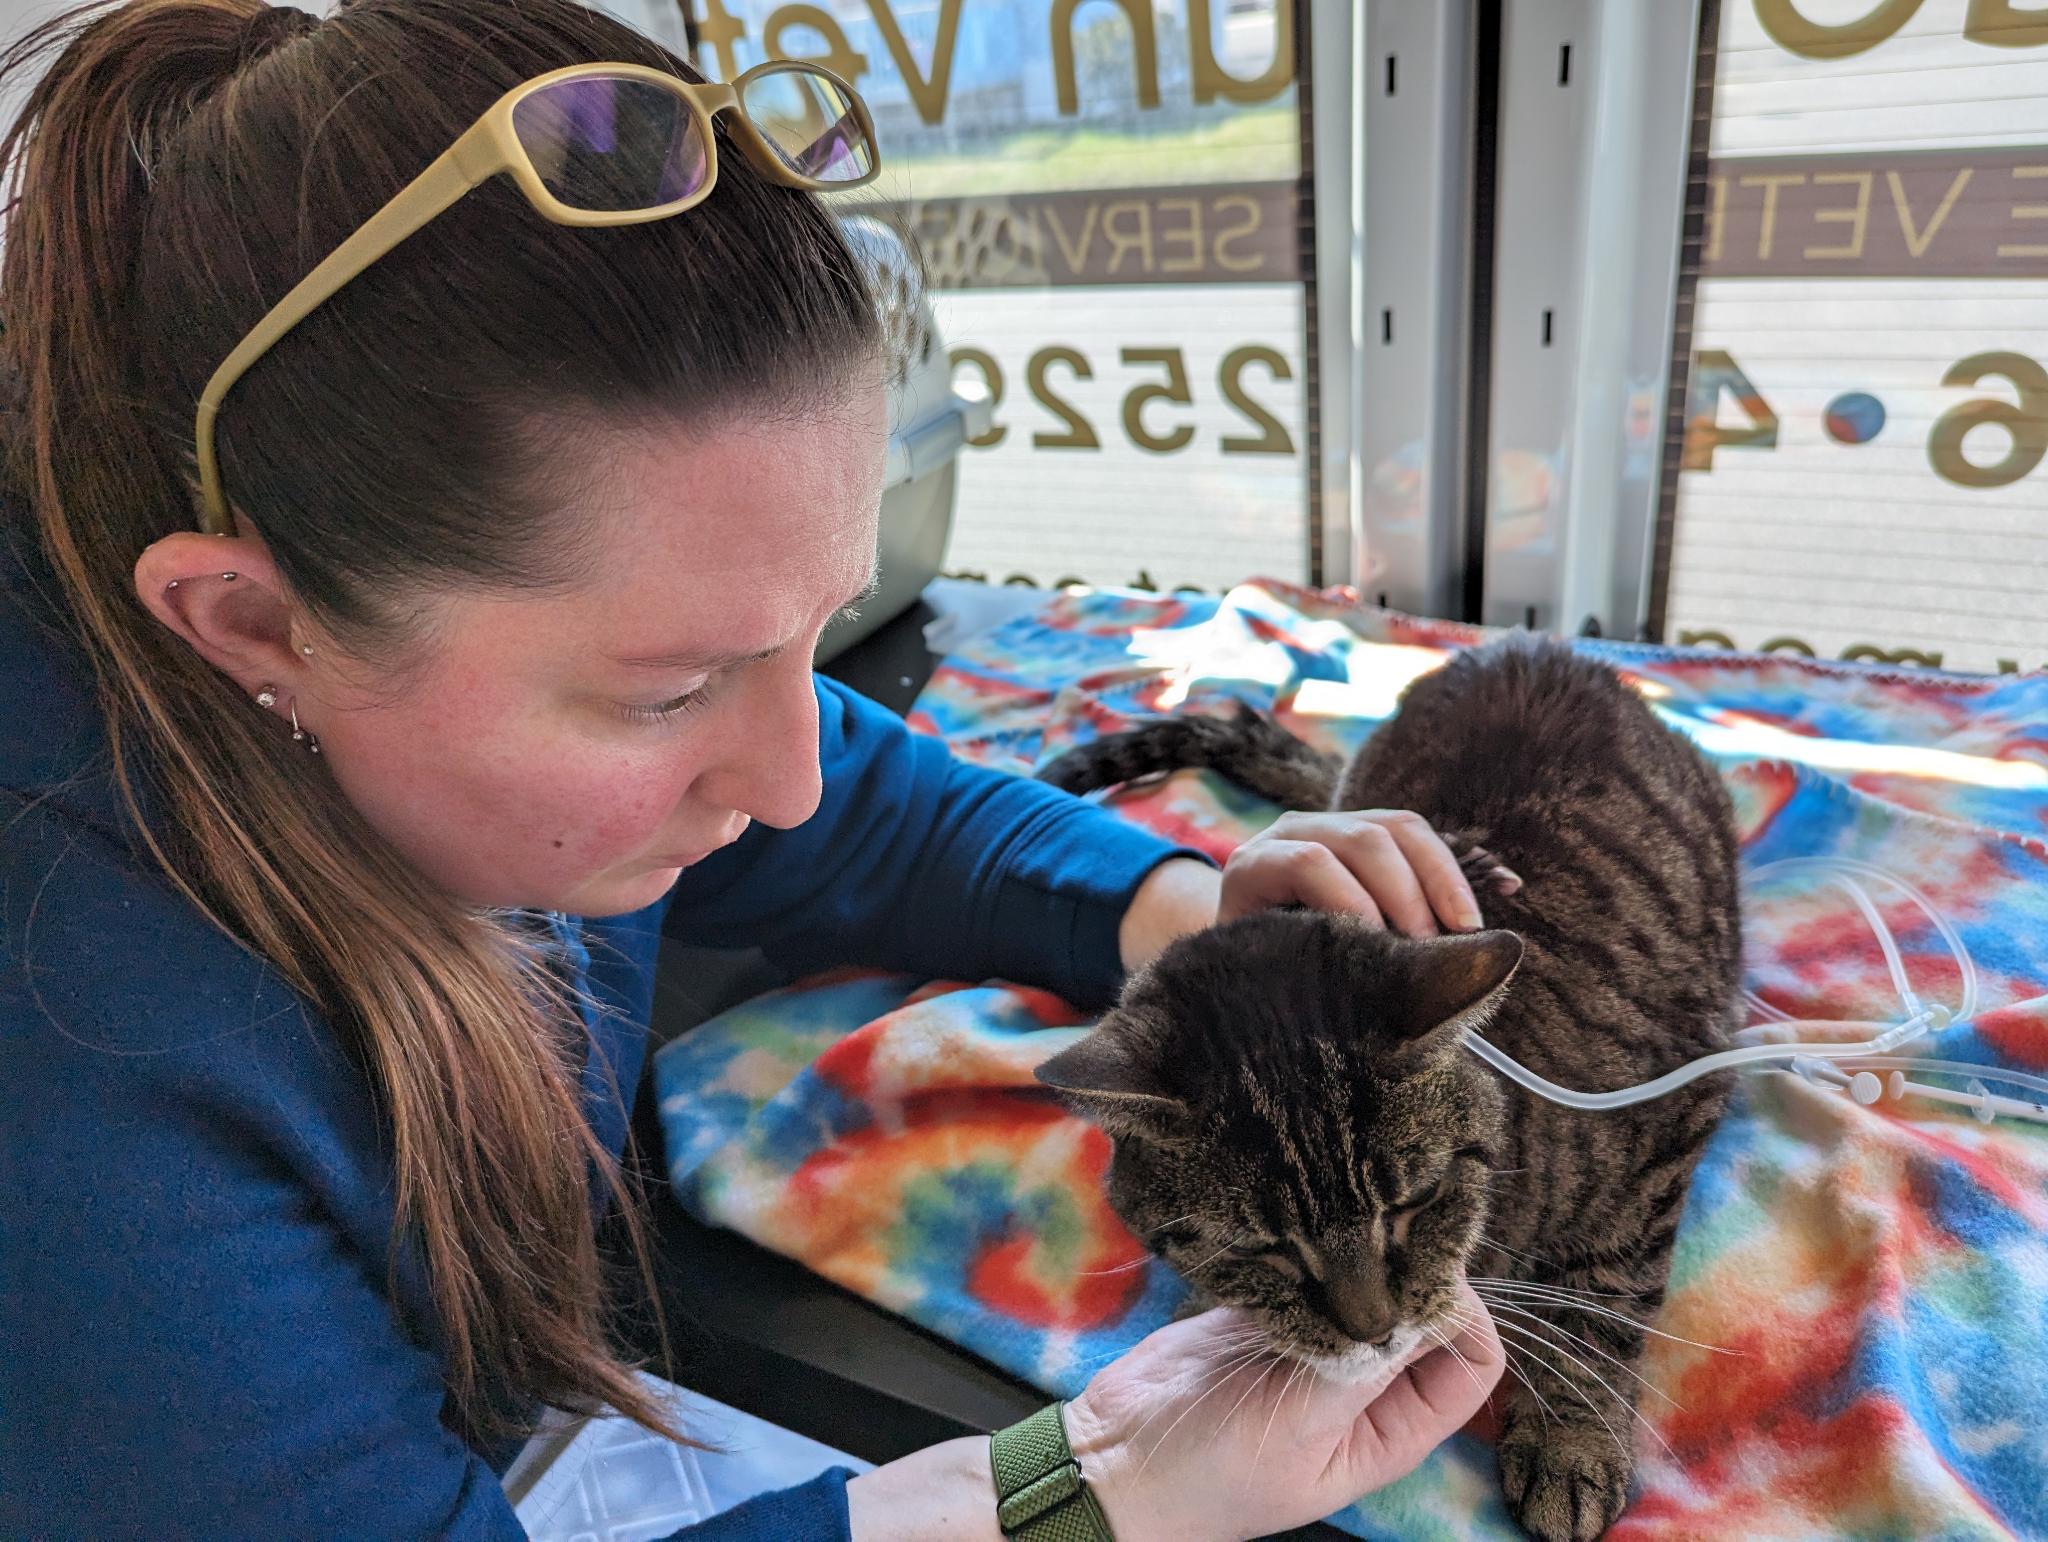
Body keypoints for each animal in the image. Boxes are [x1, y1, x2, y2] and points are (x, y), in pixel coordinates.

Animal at [1040, 626, 1744, 1539]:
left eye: (1413, 1202)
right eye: (1261, 1248)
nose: (1374, 1330)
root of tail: (1532, 643)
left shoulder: (1671, 1123)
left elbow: (1600, 1302)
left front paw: (1571, 1438)